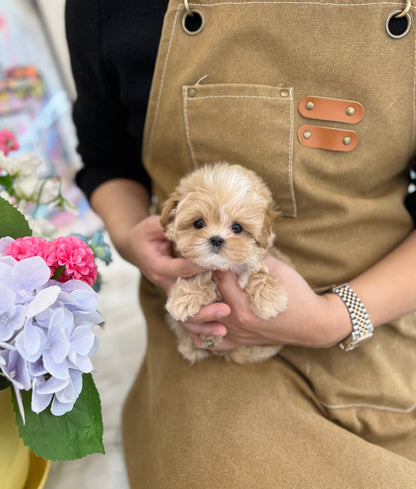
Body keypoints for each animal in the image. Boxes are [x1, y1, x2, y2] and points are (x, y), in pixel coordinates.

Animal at [161, 163, 288, 362]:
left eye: (237, 227)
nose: (216, 239)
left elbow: (257, 270)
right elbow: (203, 277)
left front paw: (269, 298)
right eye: (198, 223)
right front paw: (185, 298)